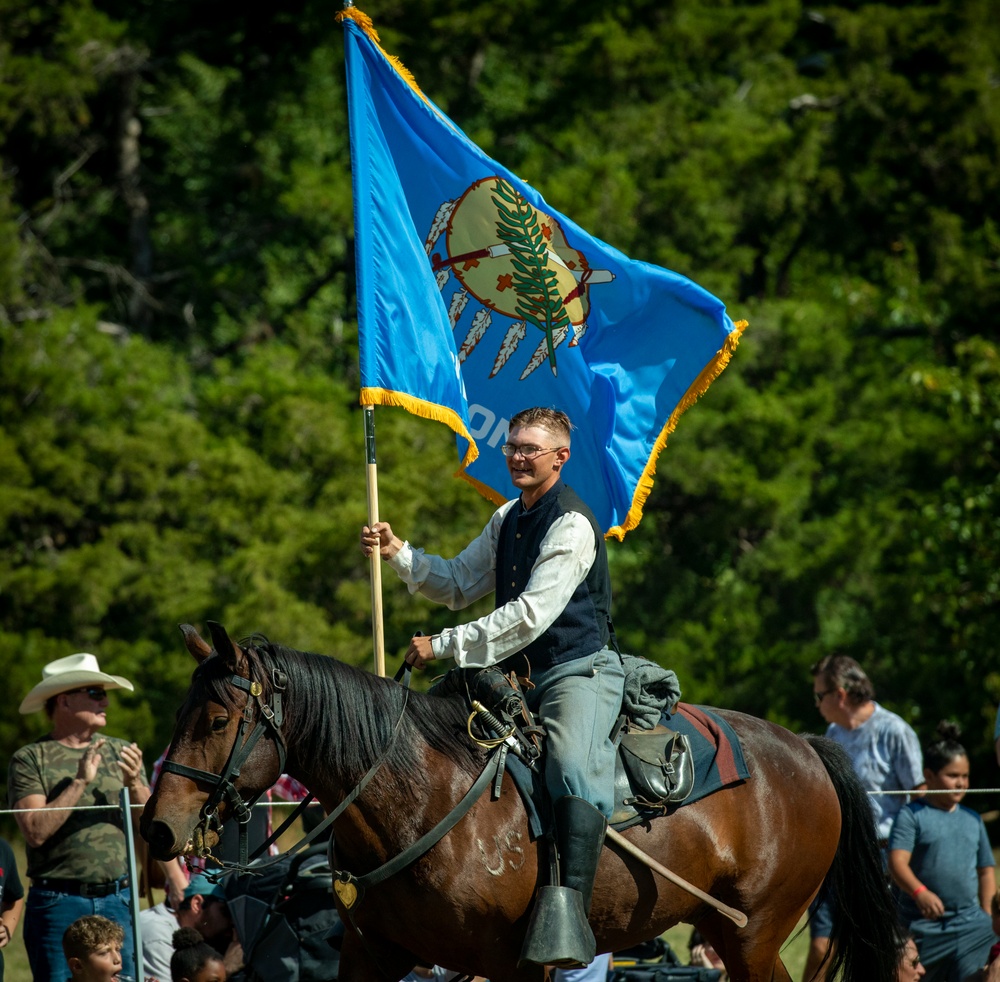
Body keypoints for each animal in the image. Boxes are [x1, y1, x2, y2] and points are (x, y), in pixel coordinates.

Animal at [139, 628, 900, 980]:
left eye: (216, 721)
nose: (157, 828)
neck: (422, 804)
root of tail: (807, 749)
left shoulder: (512, 965)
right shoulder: (372, 957)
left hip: (753, 934)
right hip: (728, 932)